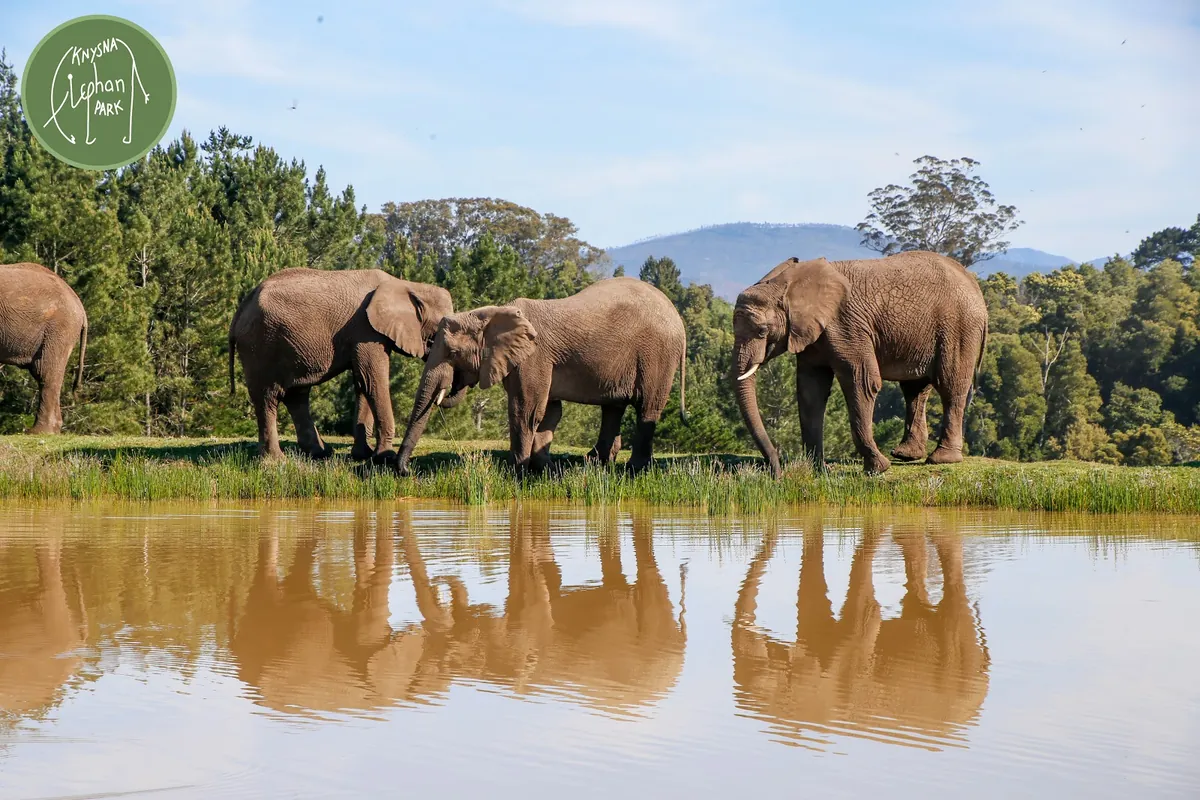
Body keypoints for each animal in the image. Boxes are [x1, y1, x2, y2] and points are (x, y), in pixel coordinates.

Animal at [228, 267, 454, 462]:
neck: (405, 285)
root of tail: (240, 310)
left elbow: (363, 382)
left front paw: (363, 455)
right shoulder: (366, 330)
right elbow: (373, 381)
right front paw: (385, 457)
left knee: (296, 395)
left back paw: (321, 453)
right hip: (260, 345)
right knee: (267, 397)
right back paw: (275, 462)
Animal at [395, 276, 687, 476]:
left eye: (453, 353)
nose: (407, 472)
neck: (493, 313)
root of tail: (677, 316)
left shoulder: (534, 356)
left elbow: (526, 409)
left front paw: (518, 472)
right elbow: (550, 411)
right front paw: (544, 470)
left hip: (657, 355)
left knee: (648, 407)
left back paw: (633, 470)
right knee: (613, 408)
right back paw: (595, 464)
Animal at [731, 251, 988, 475]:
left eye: (762, 331)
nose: (777, 474)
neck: (787, 285)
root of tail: (974, 285)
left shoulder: (846, 326)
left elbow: (862, 382)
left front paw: (877, 469)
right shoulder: (813, 336)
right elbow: (810, 390)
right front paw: (818, 470)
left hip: (959, 327)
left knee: (950, 386)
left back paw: (942, 459)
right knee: (914, 389)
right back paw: (905, 455)